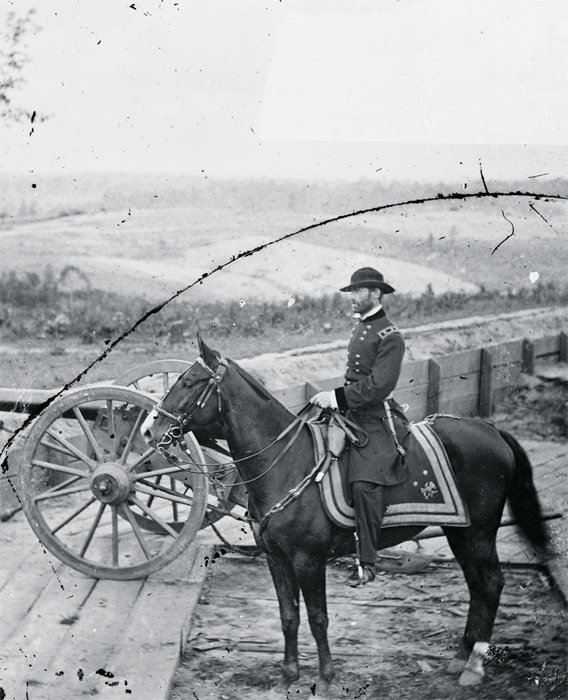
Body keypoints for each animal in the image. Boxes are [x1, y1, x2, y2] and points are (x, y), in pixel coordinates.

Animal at [141, 336, 552, 692]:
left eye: (188, 381)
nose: (149, 429)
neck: (287, 463)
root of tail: (492, 430)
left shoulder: (308, 560)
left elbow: (317, 618)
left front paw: (324, 677)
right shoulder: (276, 559)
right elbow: (288, 616)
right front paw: (288, 674)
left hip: (478, 532)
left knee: (491, 583)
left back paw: (474, 664)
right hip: (460, 532)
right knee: (478, 586)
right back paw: (461, 657)